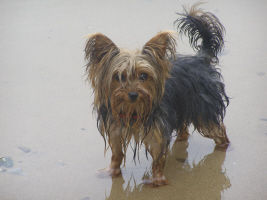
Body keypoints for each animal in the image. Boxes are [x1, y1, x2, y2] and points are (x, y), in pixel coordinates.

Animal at [85, 4, 230, 186]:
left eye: (143, 76)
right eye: (119, 77)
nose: (133, 94)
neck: (133, 108)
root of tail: (201, 58)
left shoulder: (157, 129)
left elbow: (158, 156)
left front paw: (157, 179)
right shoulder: (115, 127)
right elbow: (116, 153)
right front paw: (112, 171)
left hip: (204, 108)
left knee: (217, 129)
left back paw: (222, 146)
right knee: (184, 125)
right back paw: (181, 138)